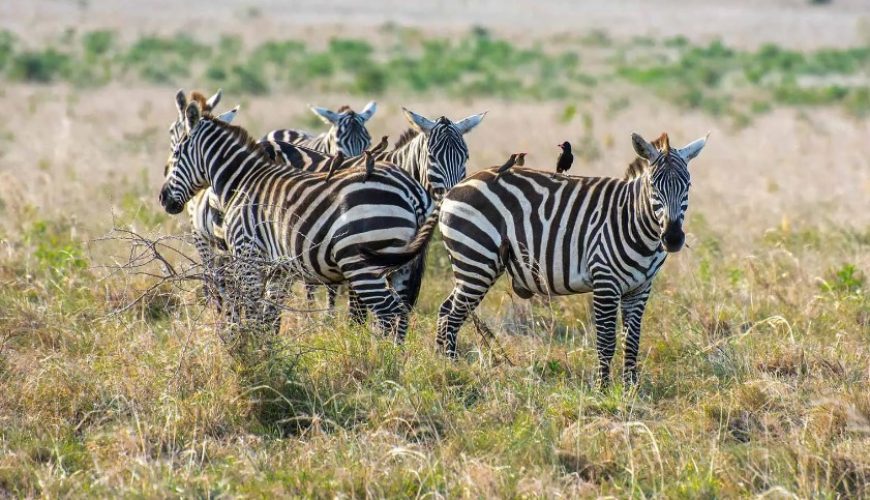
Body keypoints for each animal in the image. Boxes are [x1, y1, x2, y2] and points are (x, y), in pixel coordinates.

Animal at [159, 97, 432, 340]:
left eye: (176, 153)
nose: (162, 198)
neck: (243, 181)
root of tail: (412, 190)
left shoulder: (248, 255)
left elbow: (252, 309)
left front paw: (248, 351)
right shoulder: (278, 268)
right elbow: (269, 316)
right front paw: (266, 351)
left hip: (363, 264)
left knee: (389, 313)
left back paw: (382, 358)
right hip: (402, 266)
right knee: (402, 313)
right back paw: (395, 359)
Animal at [362, 132, 708, 386]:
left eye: (688, 186)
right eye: (653, 185)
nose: (673, 239)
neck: (635, 221)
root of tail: (455, 188)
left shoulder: (640, 289)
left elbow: (632, 340)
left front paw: (632, 388)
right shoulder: (605, 282)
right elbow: (607, 340)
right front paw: (604, 390)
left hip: (475, 264)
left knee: (447, 310)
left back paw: (445, 364)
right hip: (476, 260)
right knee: (450, 314)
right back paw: (448, 368)